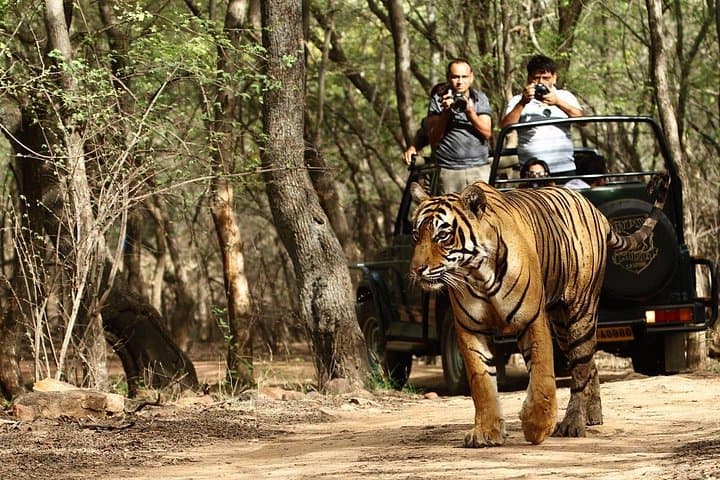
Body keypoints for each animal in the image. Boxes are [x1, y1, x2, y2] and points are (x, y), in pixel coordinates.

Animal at [409, 174, 669, 447]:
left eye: (443, 236)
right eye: (416, 235)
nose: (417, 270)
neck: (477, 273)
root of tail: (595, 209)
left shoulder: (531, 319)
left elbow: (542, 376)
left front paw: (537, 426)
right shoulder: (469, 329)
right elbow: (481, 383)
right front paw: (486, 432)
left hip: (581, 312)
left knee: (580, 369)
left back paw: (572, 423)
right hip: (562, 325)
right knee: (588, 364)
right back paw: (593, 415)